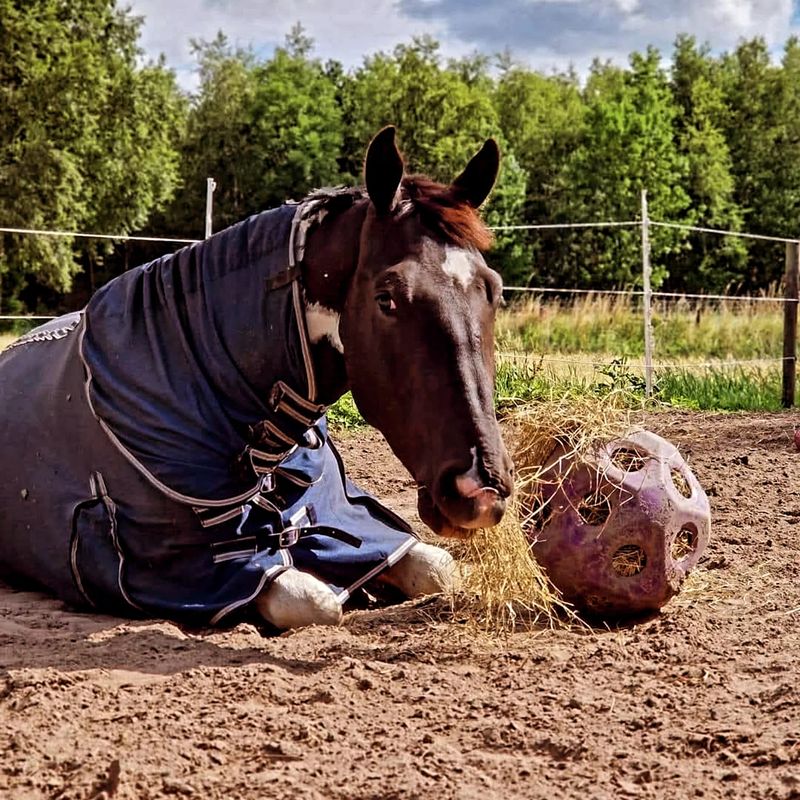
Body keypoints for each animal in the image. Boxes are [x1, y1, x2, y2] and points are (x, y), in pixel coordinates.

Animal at [0, 127, 514, 630]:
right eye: (387, 298)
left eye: (494, 290)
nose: (480, 489)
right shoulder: (202, 569)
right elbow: (313, 601)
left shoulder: (351, 517)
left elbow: (439, 568)